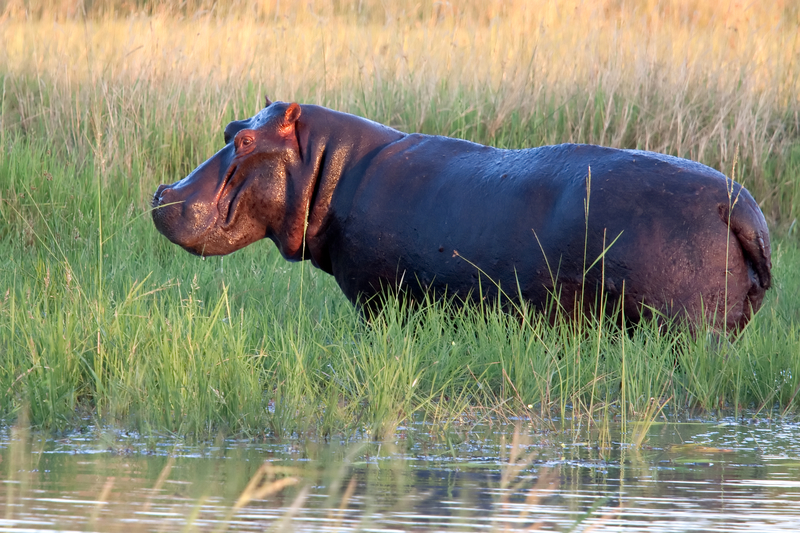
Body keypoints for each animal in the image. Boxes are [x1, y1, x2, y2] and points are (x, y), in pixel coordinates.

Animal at [152, 98, 772, 332]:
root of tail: (738, 205)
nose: (162, 193)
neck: (332, 167)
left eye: (246, 140)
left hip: (688, 329)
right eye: (231, 128)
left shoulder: (379, 303)